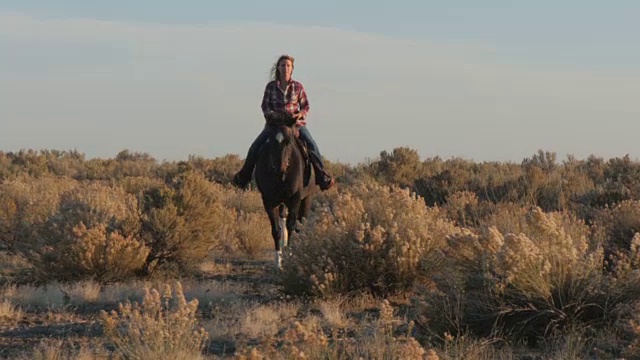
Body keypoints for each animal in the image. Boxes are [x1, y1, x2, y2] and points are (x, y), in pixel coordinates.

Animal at [252, 114, 318, 268]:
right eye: (271, 140)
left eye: (289, 141)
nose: (279, 170)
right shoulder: (268, 201)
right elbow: (277, 230)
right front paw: (278, 261)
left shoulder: (295, 199)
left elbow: (291, 225)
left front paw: (289, 256)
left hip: (307, 199)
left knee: (300, 225)